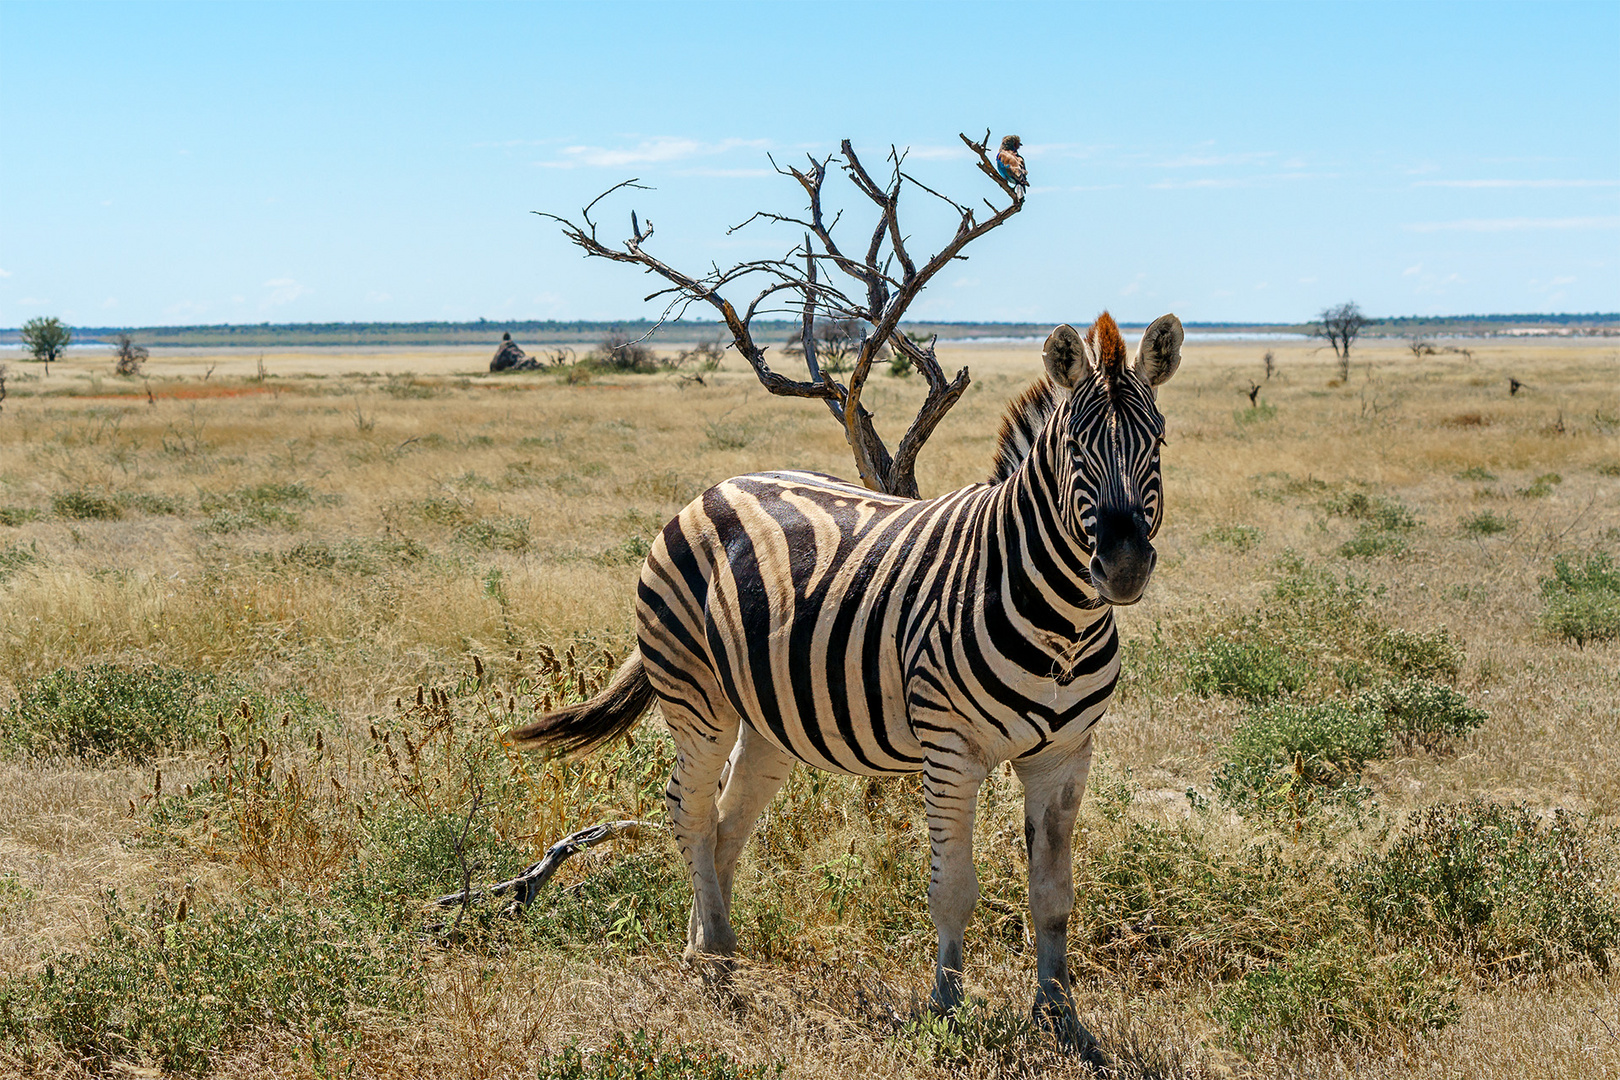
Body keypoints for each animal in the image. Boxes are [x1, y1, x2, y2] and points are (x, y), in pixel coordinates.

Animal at [511, 307, 1185, 1062]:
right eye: (1074, 447)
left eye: (1159, 441)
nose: (1123, 568)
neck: (1062, 617)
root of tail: (714, 488)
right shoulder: (951, 750)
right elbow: (953, 889)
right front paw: (946, 1011)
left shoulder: (1065, 757)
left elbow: (1054, 896)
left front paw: (1062, 1020)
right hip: (696, 694)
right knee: (688, 808)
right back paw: (716, 958)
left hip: (769, 717)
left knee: (725, 821)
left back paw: (707, 950)